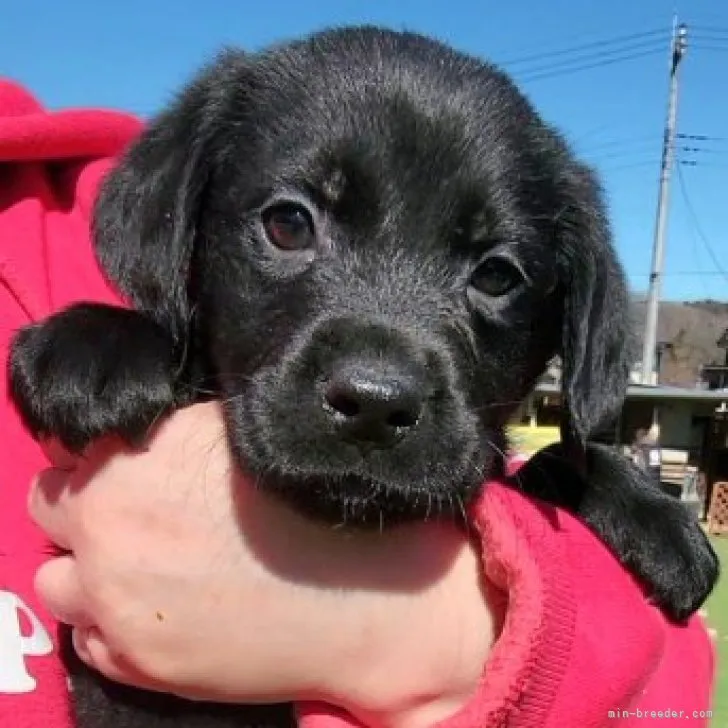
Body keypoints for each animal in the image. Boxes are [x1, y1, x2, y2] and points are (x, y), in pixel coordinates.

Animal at [8, 25, 720, 728]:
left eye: (497, 276)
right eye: (288, 223)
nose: (376, 405)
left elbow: (551, 458)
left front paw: (647, 510)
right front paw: (98, 345)